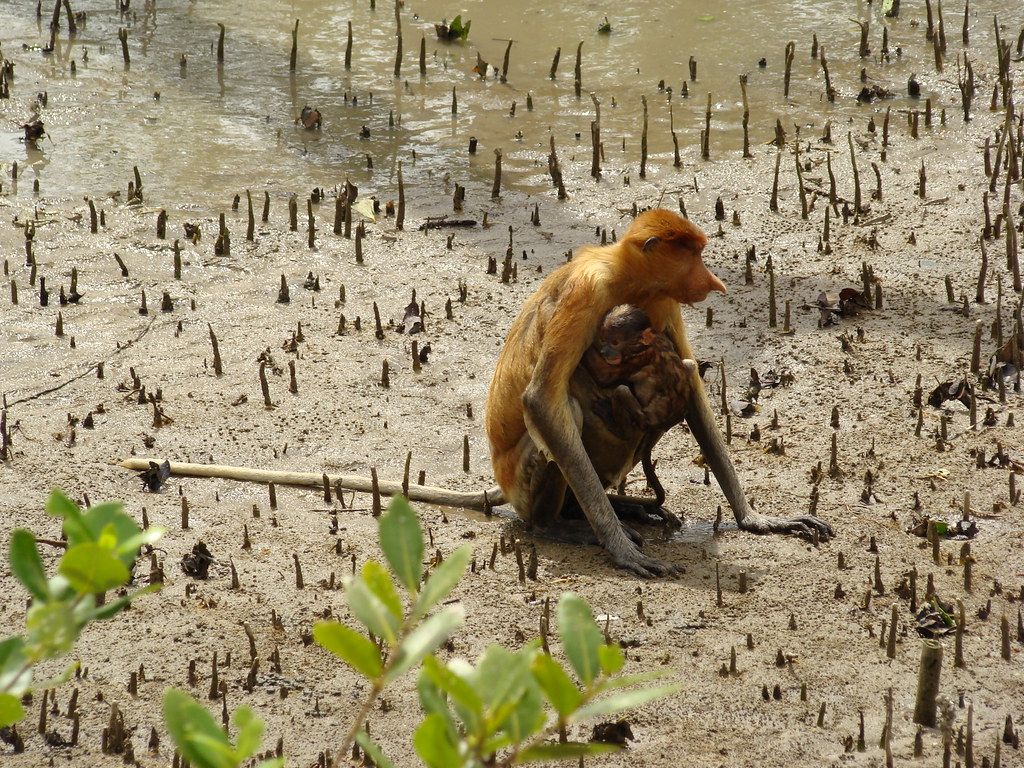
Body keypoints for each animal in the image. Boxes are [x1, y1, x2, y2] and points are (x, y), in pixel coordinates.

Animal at [485, 208, 833, 576]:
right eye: (693, 254)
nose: (714, 282)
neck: (624, 277)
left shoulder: (663, 298)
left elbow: (690, 380)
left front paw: (757, 519)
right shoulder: (587, 291)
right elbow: (539, 399)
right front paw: (624, 551)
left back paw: (621, 507)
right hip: (521, 482)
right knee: (569, 414)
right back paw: (556, 525)